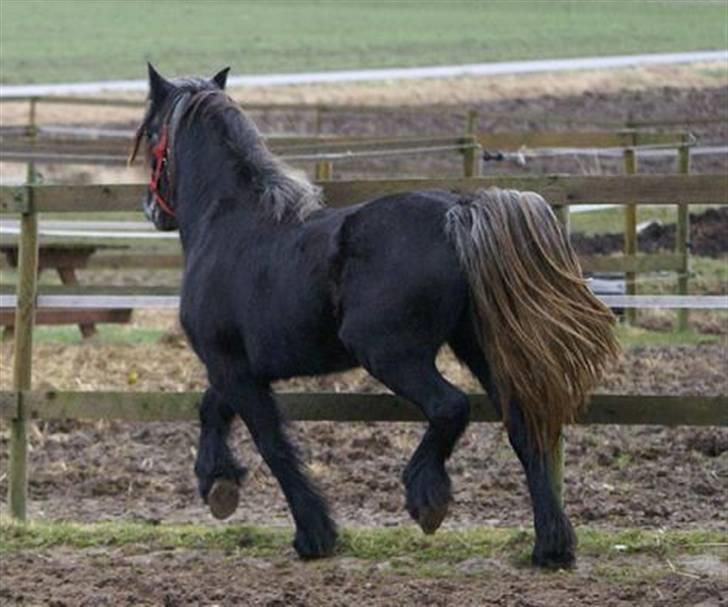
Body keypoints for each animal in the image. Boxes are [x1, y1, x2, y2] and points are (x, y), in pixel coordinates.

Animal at [131, 64, 620, 568]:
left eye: (150, 133)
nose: (151, 210)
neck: (229, 224)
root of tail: (459, 213)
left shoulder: (232, 366)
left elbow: (271, 442)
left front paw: (314, 535)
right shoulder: (239, 367)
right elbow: (212, 409)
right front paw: (218, 483)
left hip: (390, 353)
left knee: (450, 407)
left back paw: (427, 498)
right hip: (479, 348)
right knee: (523, 426)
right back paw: (551, 545)